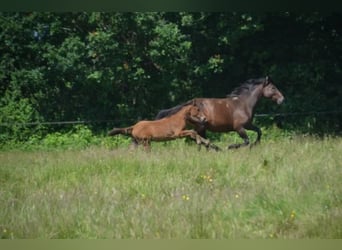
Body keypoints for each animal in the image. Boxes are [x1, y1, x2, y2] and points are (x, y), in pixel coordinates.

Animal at [156, 76, 284, 148]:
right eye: (273, 88)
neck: (243, 104)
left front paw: (256, 144)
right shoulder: (239, 127)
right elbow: (246, 141)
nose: (282, 99)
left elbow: (259, 131)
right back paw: (216, 148)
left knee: (197, 138)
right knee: (195, 137)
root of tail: (190, 103)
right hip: (200, 127)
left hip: (202, 128)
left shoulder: (248, 125)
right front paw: (231, 146)